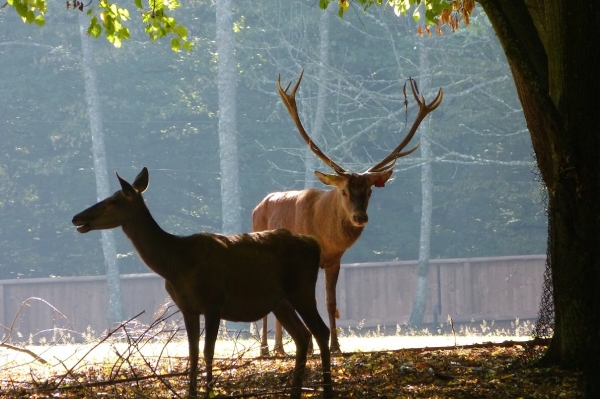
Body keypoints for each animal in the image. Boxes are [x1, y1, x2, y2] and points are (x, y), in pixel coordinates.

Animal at [71, 169, 332, 399]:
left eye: (113, 200)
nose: (76, 217)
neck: (175, 264)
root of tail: (315, 245)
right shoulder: (187, 308)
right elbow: (193, 353)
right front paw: (191, 393)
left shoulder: (214, 301)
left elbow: (208, 352)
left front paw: (207, 392)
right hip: (280, 301)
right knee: (302, 336)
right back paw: (296, 391)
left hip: (302, 289)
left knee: (321, 331)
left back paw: (327, 390)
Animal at [251, 72, 442, 356]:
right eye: (343, 191)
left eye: (370, 191)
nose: (360, 217)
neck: (323, 235)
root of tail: (258, 207)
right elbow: (310, 301)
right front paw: (313, 346)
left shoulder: (335, 260)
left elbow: (331, 302)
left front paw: (335, 346)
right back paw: (265, 348)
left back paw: (280, 348)